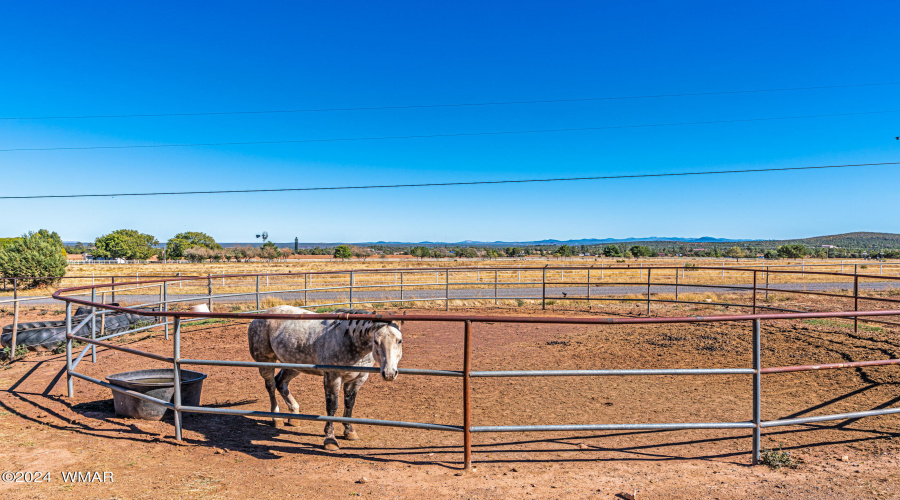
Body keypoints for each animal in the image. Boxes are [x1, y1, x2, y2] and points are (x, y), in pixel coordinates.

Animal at [244, 304, 402, 450]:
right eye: (376, 341)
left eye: (399, 340)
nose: (389, 373)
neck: (350, 340)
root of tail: (258, 319)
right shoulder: (333, 377)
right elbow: (332, 407)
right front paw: (330, 439)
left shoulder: (358, 378)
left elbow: (349, 404)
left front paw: (349, 431)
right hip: (266, 362)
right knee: (271, 385)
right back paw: (276, 417)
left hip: (294, 364)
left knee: (280, 383)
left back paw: (294, 414)